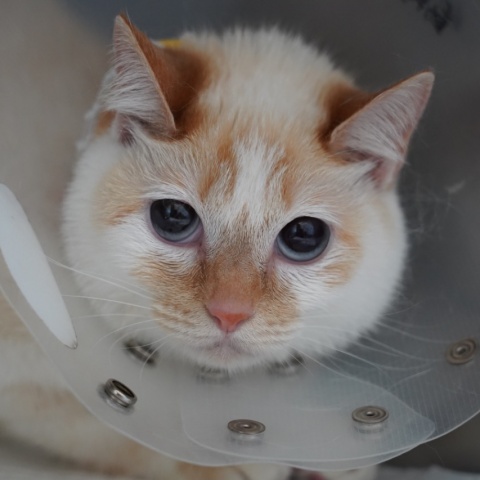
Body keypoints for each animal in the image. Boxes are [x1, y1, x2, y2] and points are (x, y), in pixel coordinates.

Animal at [0, 2, 433, 480]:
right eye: (174, 217)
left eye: (303, 236)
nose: (230, 313)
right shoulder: (30, 373)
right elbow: (129, 439)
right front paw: (251, 465)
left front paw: (337, 465)